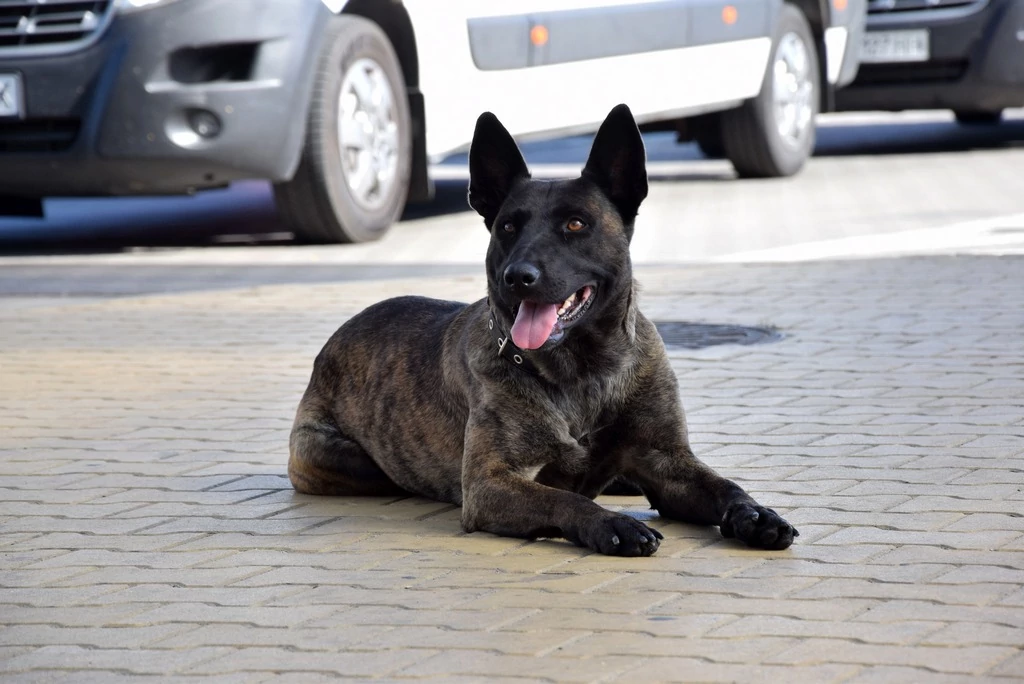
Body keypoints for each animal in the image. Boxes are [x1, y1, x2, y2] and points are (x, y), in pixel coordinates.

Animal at [288, 104, 798, 556]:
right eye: (507, 227)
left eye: (575, 224)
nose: (518, 276)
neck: (585, 370)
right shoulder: (491, 484)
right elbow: (562, 497)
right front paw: (613, 525)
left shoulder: (669, 463)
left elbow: (725, 486)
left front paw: (756, 514)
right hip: (340, 457)